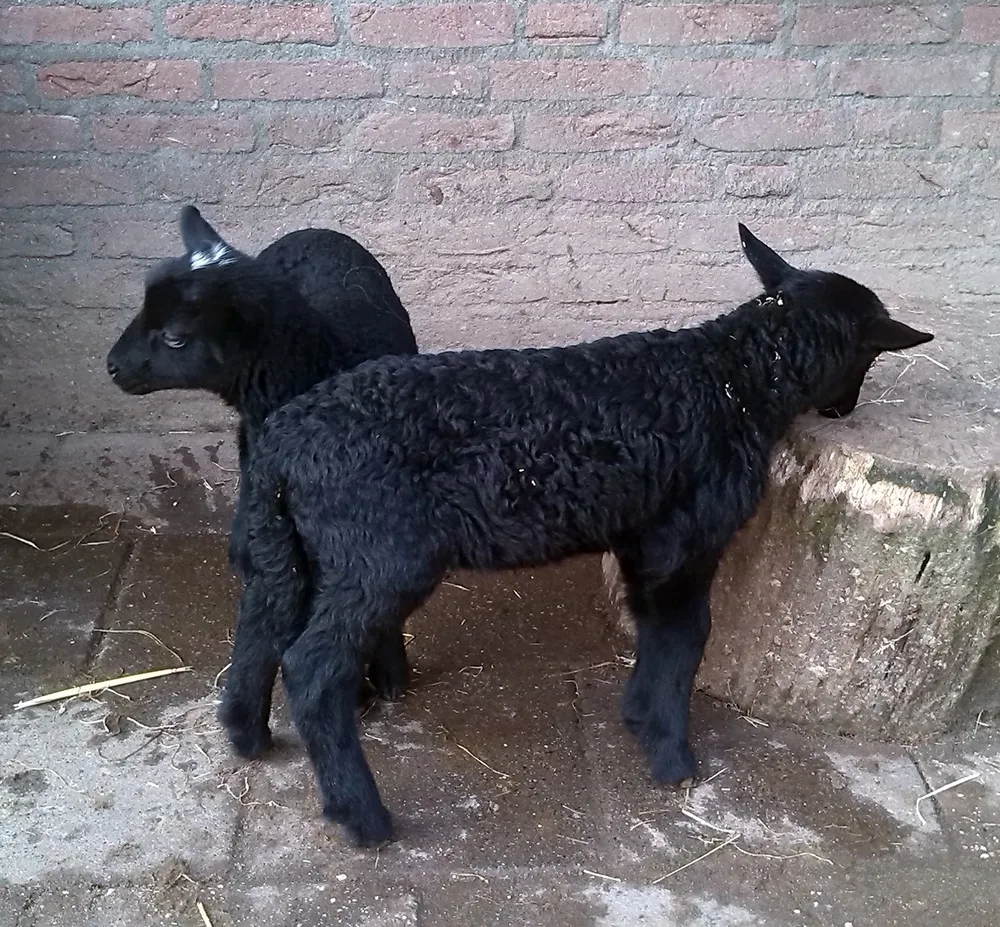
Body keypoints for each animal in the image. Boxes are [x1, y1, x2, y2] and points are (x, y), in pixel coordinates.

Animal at [222, 224, 934, 846]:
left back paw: (246, 739)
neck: (733, 377)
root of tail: (283, 443)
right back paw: (364, 818)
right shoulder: (689, 535)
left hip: (297, 547)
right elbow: (686, 633)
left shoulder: (643, 534)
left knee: (259, 627)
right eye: (872, 352)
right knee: (312, 669)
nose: (845, 408)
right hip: (377, 551)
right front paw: (672, 756)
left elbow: (653, 625)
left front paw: (640, 716)